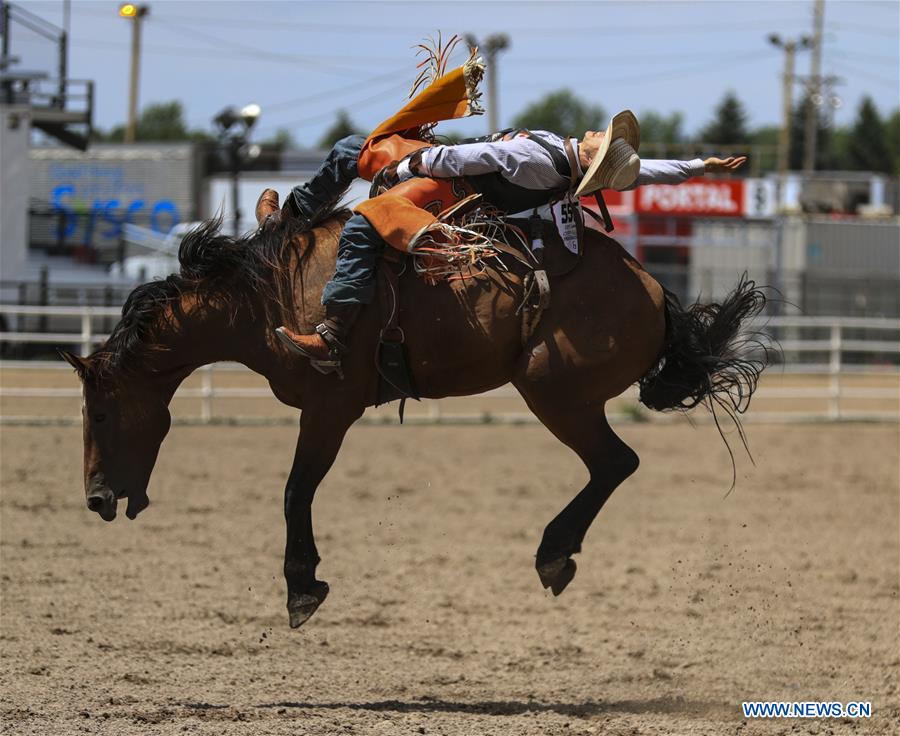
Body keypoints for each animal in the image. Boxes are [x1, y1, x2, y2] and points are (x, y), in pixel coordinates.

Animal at [61, 198, 768, 628]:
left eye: (101, 413)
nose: (95, 499)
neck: (267, 299)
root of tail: (652, 289)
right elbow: (298, 491)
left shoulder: (330, 406)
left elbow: (295, 491)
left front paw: (301, 588)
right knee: (614, 464)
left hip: (552, 390)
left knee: (616, 461)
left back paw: (552, 554)